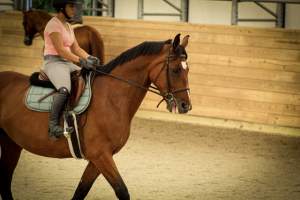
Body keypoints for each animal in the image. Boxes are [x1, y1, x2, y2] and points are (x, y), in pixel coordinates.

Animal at [0, 33, 192, 199]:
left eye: (187, 70)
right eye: (175, 70)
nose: (186, 106)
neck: (110, 98)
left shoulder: (98, 159)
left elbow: (81, 190)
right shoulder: (100, 155)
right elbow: (122, 190)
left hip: (11, 143)